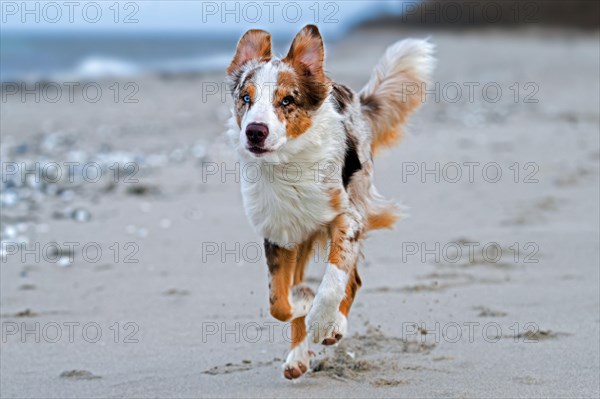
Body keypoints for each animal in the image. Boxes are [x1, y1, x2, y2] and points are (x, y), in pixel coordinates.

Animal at [227, 25, 434, 382]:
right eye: (246, 98)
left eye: (287, 100)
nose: (255, 131)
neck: (288, 167)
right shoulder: (279, 233)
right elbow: (279, 303)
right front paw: (302, 301)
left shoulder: (347, 218)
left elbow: (334, 279)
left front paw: (323, 320)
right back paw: (297, 358)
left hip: (359, 197)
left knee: (354, 279)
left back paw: (335, 326)